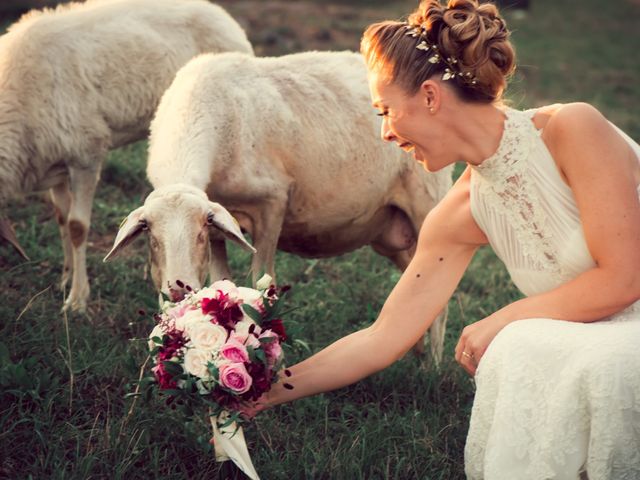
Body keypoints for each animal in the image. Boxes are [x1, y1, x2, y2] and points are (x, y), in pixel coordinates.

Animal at [0, 0, 254, 312]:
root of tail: (219, 13)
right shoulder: (54, 162)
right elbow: (62, 218)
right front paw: (65, 278)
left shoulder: (86, 154)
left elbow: (77, 227)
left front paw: (77, 299)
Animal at [105, 51, 452, 360]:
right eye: (149, 233)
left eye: (199, 233)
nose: (179, 290)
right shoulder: (223, 225)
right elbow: (221, 285)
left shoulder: (271, 203)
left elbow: (263, 282)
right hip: (389, 232)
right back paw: (414, 353)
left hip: (427, 203)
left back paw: (432, 366)